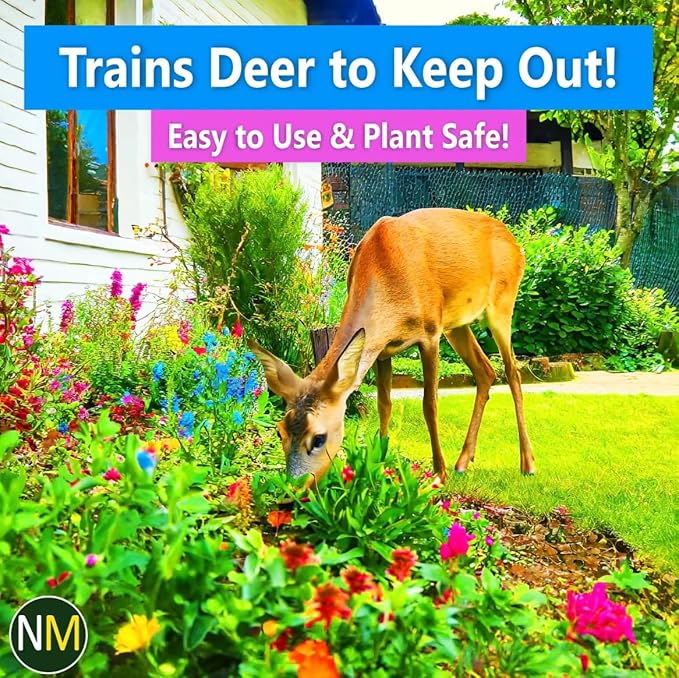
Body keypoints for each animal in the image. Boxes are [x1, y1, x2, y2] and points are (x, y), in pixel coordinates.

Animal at [249, 207, 535, 487]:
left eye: (319, 437)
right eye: (280, 431)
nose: (293, 486)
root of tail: (514, 243)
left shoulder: (430, 333)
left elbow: (429, 404)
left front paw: (438, 474)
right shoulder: (381, 349)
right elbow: (383, 404)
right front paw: (381, 462)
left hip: (502, 304)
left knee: (512, 371)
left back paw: (527, 464)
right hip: (456, 324)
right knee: (485, 371)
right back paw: (463, 461)